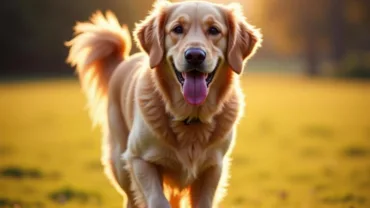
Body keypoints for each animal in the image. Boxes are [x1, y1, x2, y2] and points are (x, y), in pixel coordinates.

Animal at [66, 0, 264, 207]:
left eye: (214, 30)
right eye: (177, 29)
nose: (195, 55)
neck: (190, 118)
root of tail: (123, 62)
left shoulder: (213, 167)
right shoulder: (138, 159)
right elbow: (158, 200)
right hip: (121, 163)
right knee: (130, 197)